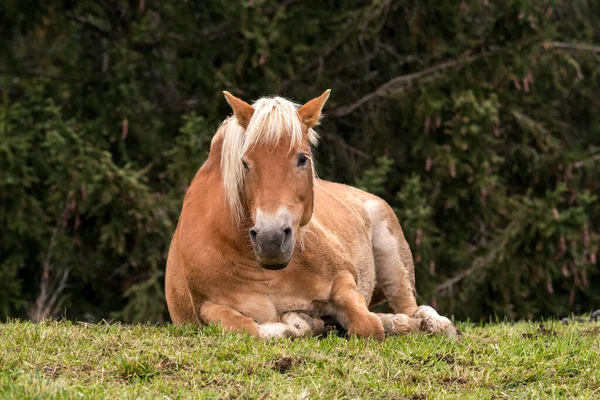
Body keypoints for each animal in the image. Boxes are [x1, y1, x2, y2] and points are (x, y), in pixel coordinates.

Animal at [164, 89, 460, 340]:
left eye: (302, 158)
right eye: (245, 163)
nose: (271, 239)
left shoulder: (342, 281)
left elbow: (367, 324)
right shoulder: (207, 307)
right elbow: (250, 328)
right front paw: (299, 323)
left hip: (393, 258)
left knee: (412, 309)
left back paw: (429, 324)